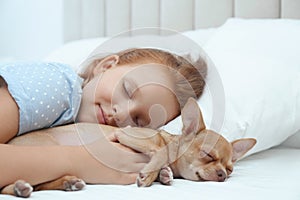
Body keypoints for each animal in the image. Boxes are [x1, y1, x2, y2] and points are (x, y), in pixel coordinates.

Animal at [1, 97, 255, 198]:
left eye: (230, 169)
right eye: (207, 154)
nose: (222, 174)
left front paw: (163, 174)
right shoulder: (124, 134)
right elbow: (161, 152)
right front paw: (152, 171)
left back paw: (67, 183)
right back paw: (21, 187)